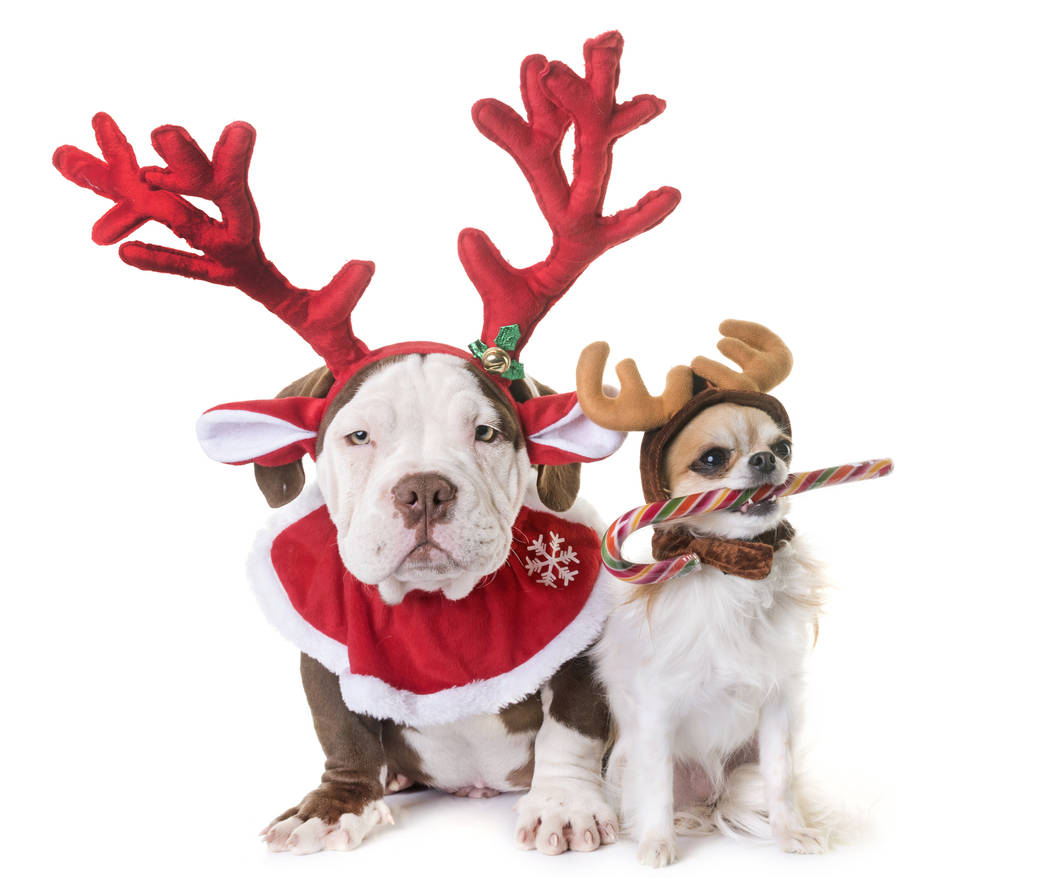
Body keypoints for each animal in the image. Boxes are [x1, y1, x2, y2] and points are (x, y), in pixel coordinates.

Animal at [579, 321, 831, 865]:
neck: (731, 572)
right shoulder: (658, 713)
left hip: (742, 769)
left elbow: (781, 778)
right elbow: (657, 788)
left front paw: (791, 833)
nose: (765, 460)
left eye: (784, 448)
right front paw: (657, 843)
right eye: (712, 459)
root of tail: (712, 797)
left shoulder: (777, 704)